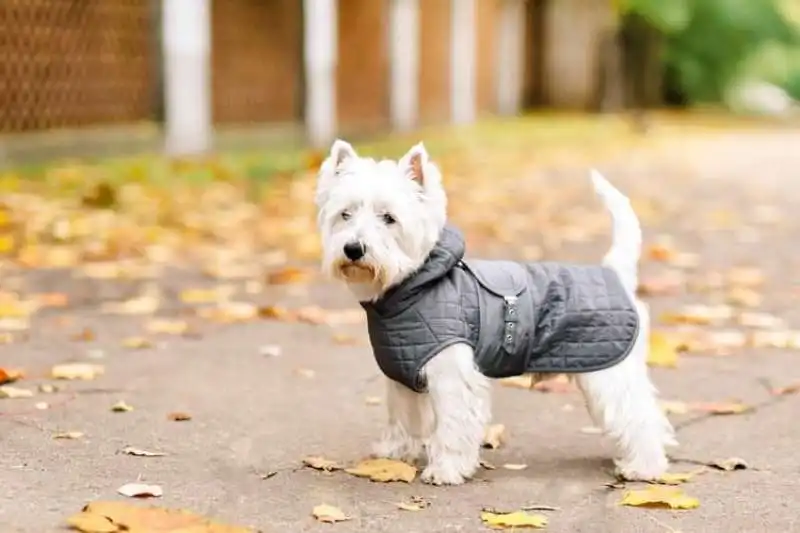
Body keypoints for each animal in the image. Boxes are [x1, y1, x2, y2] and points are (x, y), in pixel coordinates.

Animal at [312, 139, 676, 484]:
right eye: (345, 214)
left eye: (389, 218)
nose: (353, 249)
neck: (413, 286)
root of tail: (616, 273)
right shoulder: (402, 375)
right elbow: (401, 417)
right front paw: (393, 455)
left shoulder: (452, 375)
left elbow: (453, 427)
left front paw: (445, 470)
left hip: (610, 372)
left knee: (641, 416)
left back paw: (643, 467)